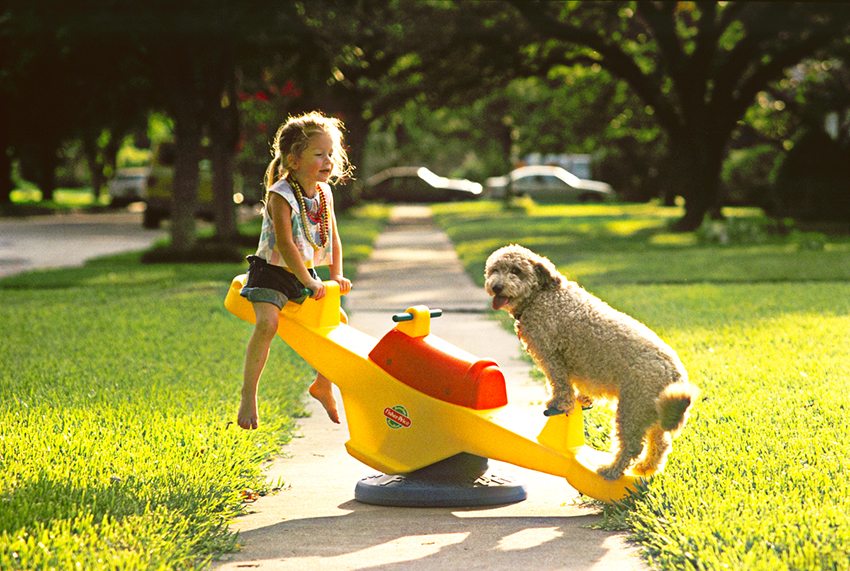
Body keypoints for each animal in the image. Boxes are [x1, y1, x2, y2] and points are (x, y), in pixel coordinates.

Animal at [484, 246, 696, 482]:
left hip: (632, 408)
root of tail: (676, 374)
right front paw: (581, 399)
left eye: (516, 271)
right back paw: (645, 468)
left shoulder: (551, 356)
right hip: (651, 411)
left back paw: (612, 470)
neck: (541, 297)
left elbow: (559, 384)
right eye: (494, 270)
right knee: (660, 443)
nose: (496, 286)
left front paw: (558, 403)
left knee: (632, 446)